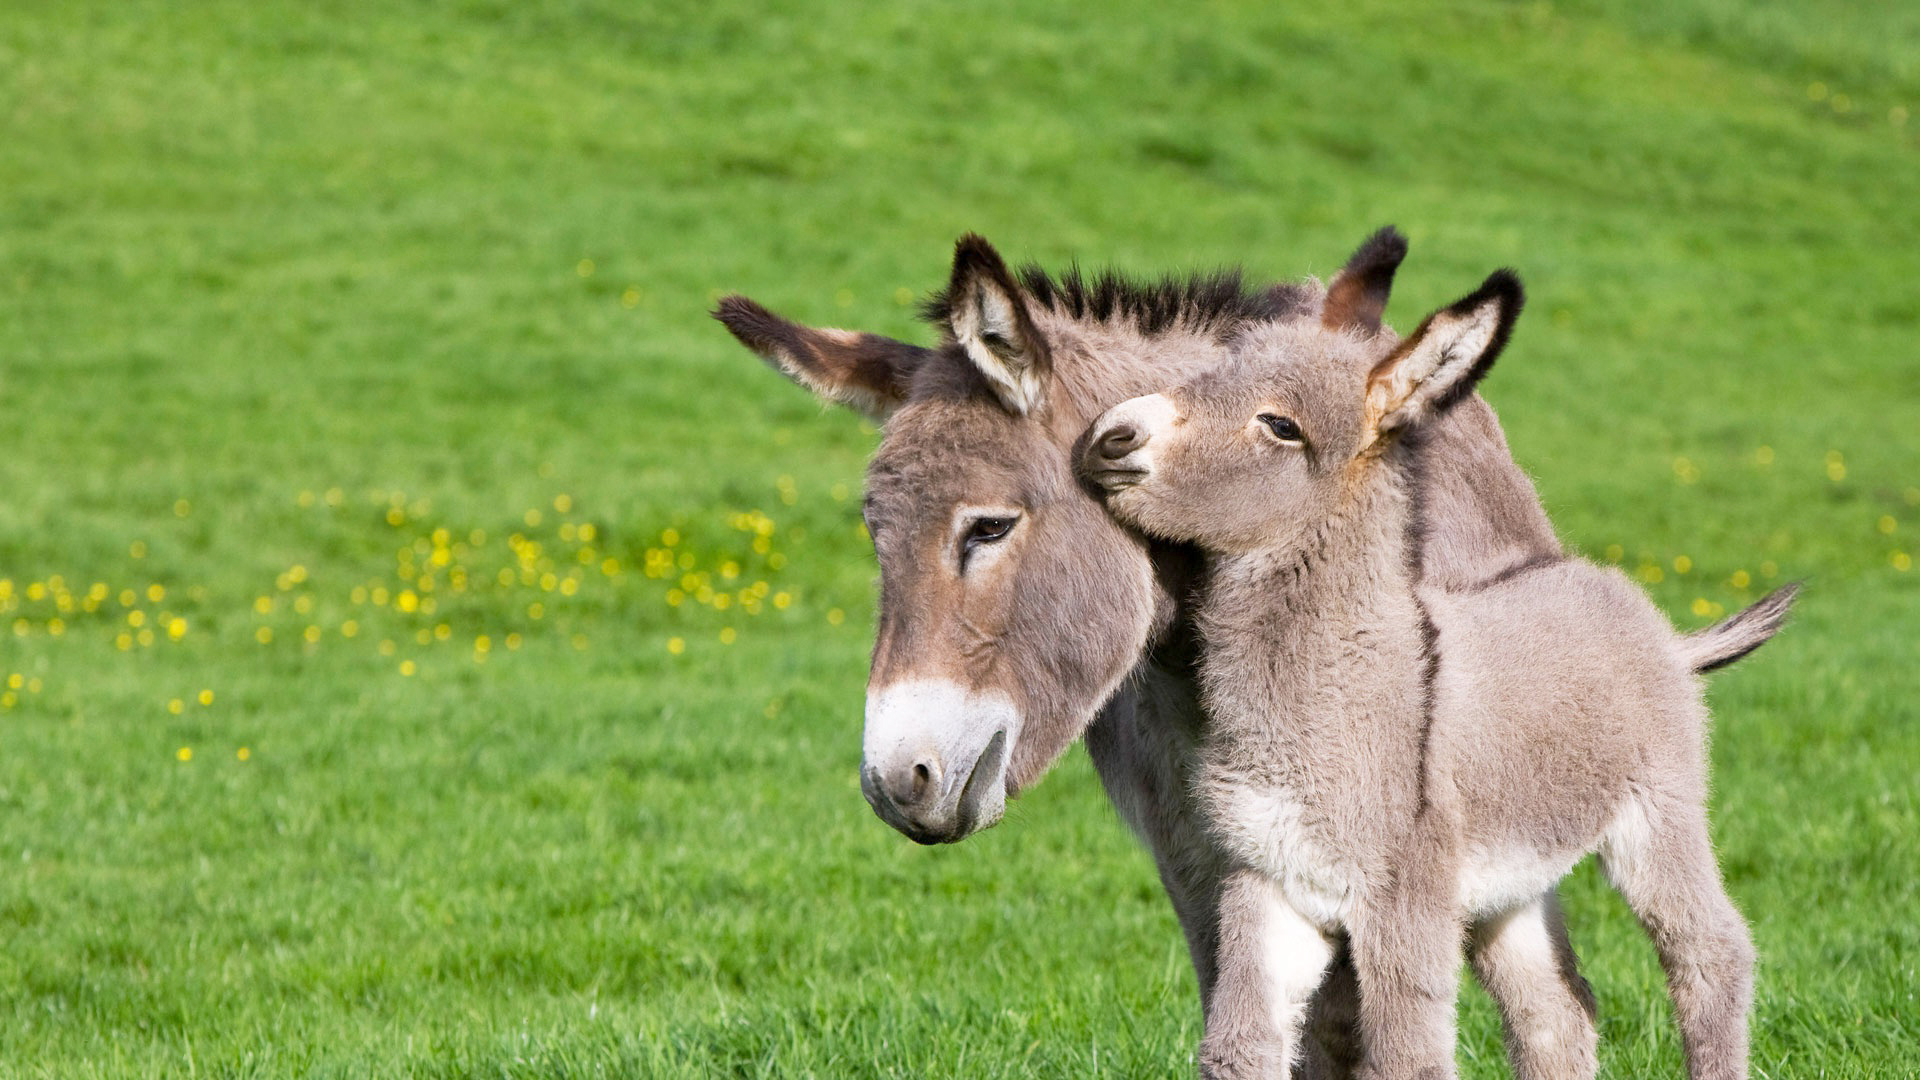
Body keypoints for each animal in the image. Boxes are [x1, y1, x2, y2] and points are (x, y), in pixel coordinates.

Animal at [1090, 269, 1789, 1076]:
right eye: (1208, 374)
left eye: (1282, 426)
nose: (1110, 436)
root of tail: (1657, 627)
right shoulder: (1267, 886)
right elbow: (1239, 1048)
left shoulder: (1402, 902)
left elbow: (1407, 1055)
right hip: (1507, 888)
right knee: (1557, 1012)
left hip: (1659, 816)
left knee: (1710, 954)